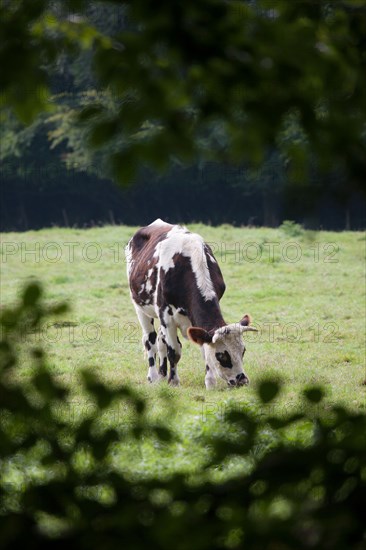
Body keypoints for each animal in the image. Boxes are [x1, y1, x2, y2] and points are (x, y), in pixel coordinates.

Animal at [124, 218, 256, 390]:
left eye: (243, 350)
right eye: (222, 356)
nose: (242, 380)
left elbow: (204, 349)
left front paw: (210, 383)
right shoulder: (166, 315)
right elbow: (174, 351)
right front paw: (173, 382)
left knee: (160, 342)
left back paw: (162, 375)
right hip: (141, 308)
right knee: (150, 340)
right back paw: (153, 376)